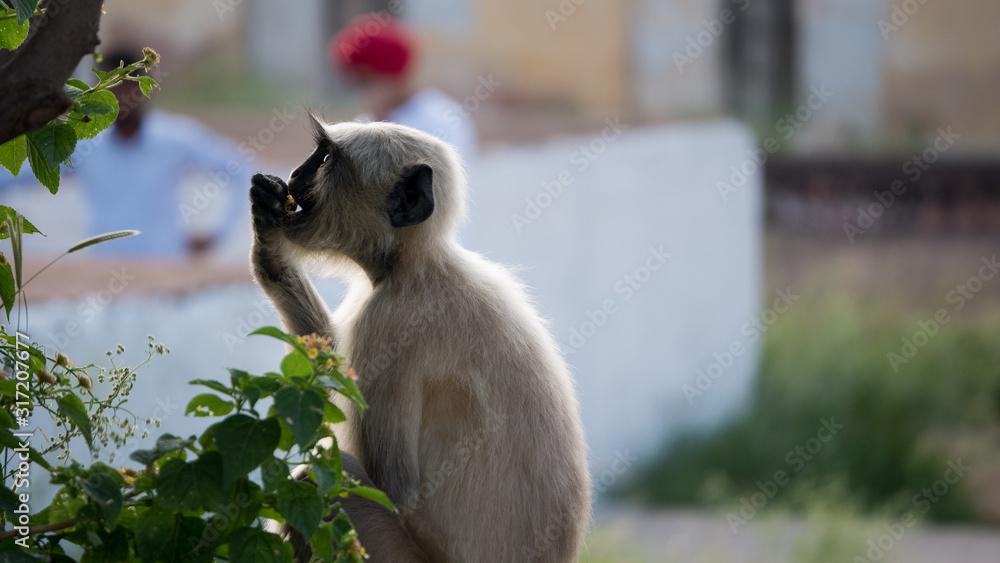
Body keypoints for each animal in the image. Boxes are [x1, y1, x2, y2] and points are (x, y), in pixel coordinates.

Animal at [249, 115, 591, 562]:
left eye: (325, 159)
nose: (294, 173)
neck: (418, 266)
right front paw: (269, 241)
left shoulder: (387, 321)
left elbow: (393, 491)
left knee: (317, 482)